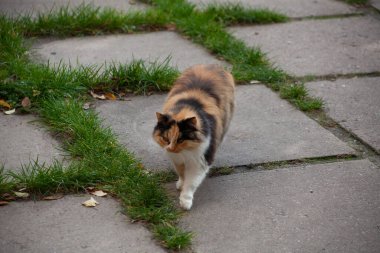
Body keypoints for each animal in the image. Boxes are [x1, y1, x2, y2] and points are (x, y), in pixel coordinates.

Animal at [152, 64, 235, 210]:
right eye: (166, 139)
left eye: (180, 139)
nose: (171, 149)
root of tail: (213, 65)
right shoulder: (176, 159)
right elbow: (181, 173)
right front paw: (180, 184)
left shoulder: (200, 161)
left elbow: (191, 183)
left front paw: (185, 202)